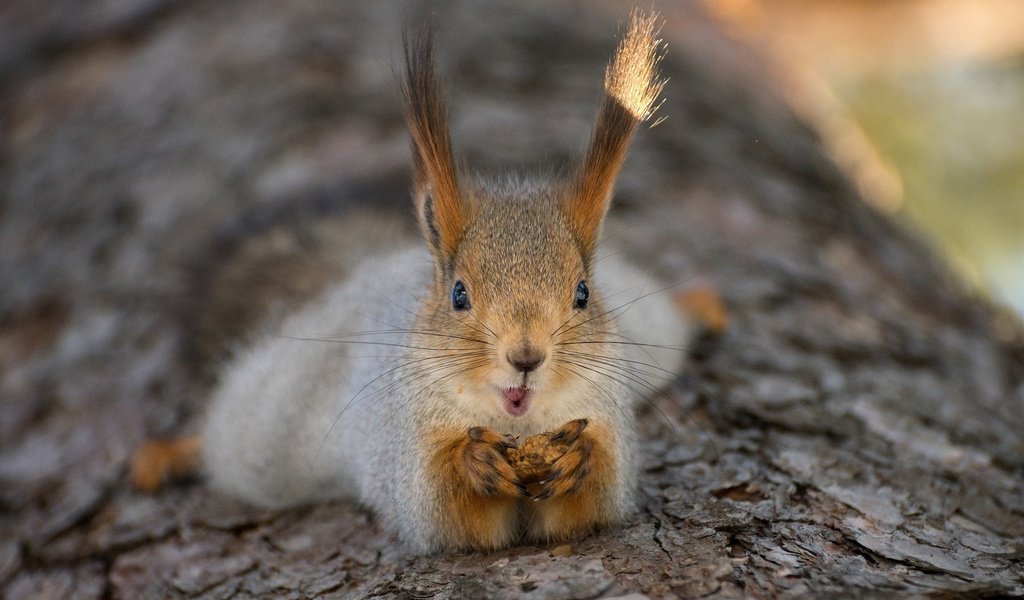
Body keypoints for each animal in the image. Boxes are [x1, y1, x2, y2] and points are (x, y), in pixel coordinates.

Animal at [130, 10, 729, 552]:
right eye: (459, 294)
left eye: (582, 294)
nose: (526, 357)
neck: (518, 426)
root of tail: (368, 268)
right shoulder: (407, 448)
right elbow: (439, 509)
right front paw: (474, 460)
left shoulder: (606, 416)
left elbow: (598, 497)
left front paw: (579, 460)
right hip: (272, 418)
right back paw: (168, 453)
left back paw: (700, 302)